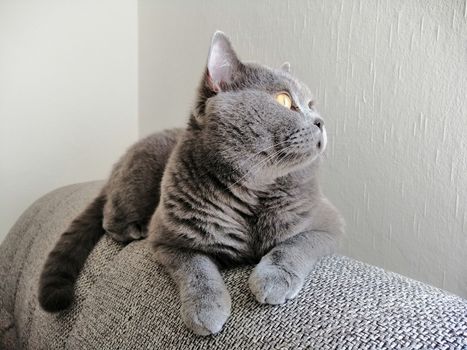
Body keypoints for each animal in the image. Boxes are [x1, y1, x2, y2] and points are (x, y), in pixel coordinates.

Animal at [39, 31, 344, 334]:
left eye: (311, 104)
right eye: (283, 100)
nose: (320, 121)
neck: (255, 191)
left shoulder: (329, 224)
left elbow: (295, 245)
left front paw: (273, 280)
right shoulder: (168, 240)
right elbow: (196, 267)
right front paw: (206, 310)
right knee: (109, 218)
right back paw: (135, 229)